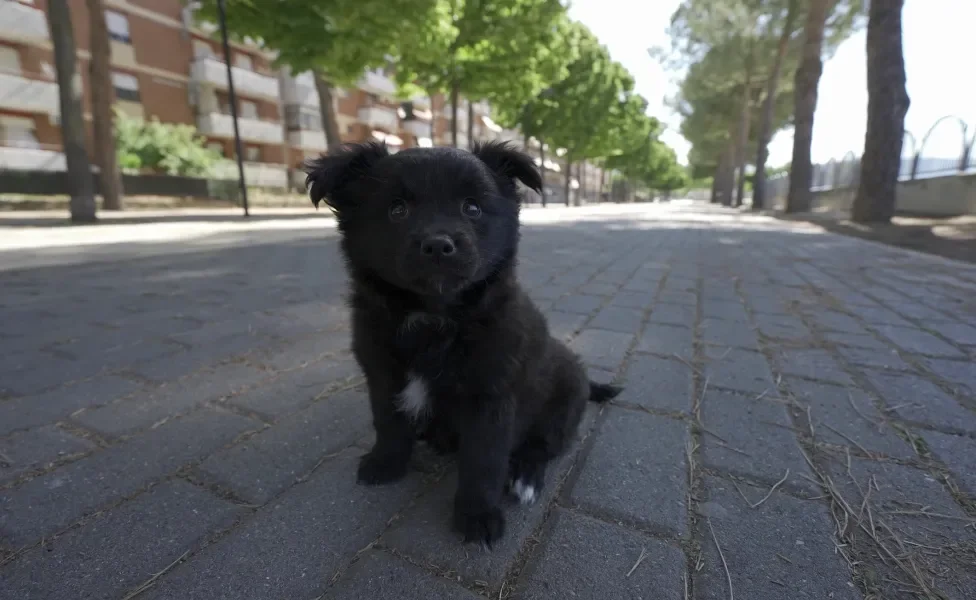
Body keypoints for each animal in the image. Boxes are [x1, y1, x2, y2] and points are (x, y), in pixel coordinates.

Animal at [306, 143, 616, 548]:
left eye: (472, 208)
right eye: (397, 210)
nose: (439, 245)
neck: (433, 317)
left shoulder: (490, 397)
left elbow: (483, 460)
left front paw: (477, 516)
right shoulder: (383, 376)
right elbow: (388, 423)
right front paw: (386, 463)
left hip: (560, 408)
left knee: (541, 447)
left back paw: (525, 479)